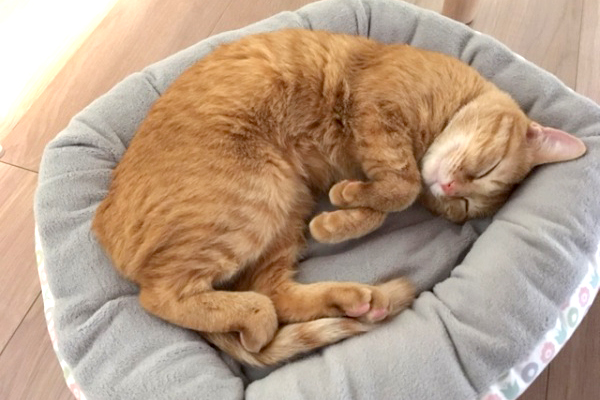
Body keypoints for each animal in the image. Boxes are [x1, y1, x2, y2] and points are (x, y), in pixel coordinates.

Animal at [92, 29, 586, 367]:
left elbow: (387, 200)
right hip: (254, 198)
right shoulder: (377, 113)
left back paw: (355, 299)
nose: (449, 189)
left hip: (285, 208)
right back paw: (256, 321)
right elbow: (402, 187)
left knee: (276, 294)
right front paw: (351, 202)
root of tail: (102, 224)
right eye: (487, 169)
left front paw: (340, 216)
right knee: (165, 297)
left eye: (461, 207)